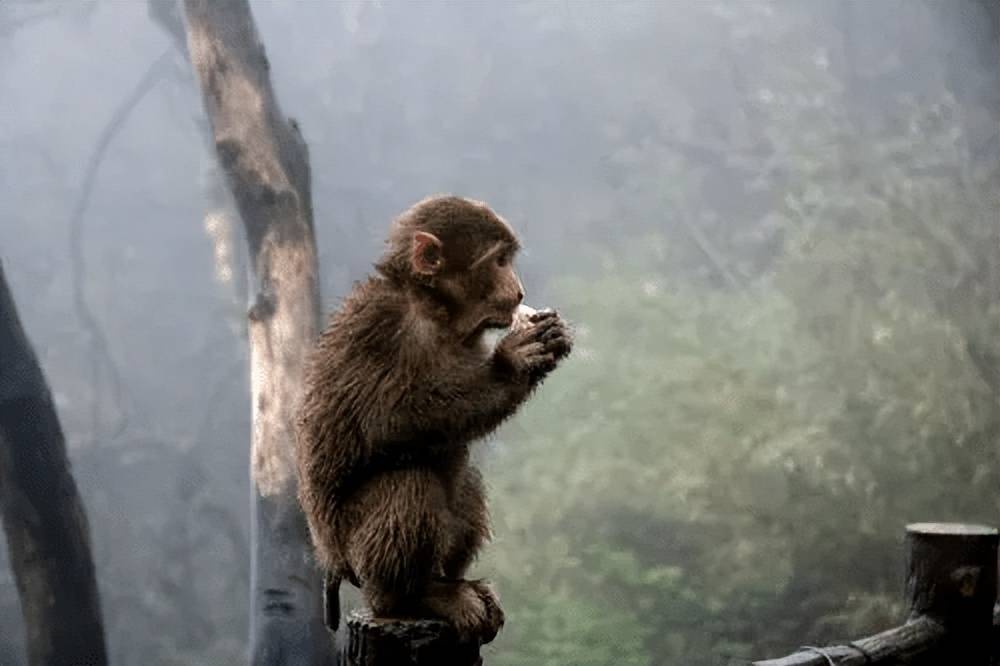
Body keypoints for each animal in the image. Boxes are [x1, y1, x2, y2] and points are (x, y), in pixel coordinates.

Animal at [292, 195, 572, 640]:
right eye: (498, 262)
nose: (519, 290)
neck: (434, 310)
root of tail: (330, 560)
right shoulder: (380, 324)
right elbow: (386, 420)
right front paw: (513, 362)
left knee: (464, 477)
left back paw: (448, 582)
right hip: (350, 547)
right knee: (409, 482)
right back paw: (411, 597)